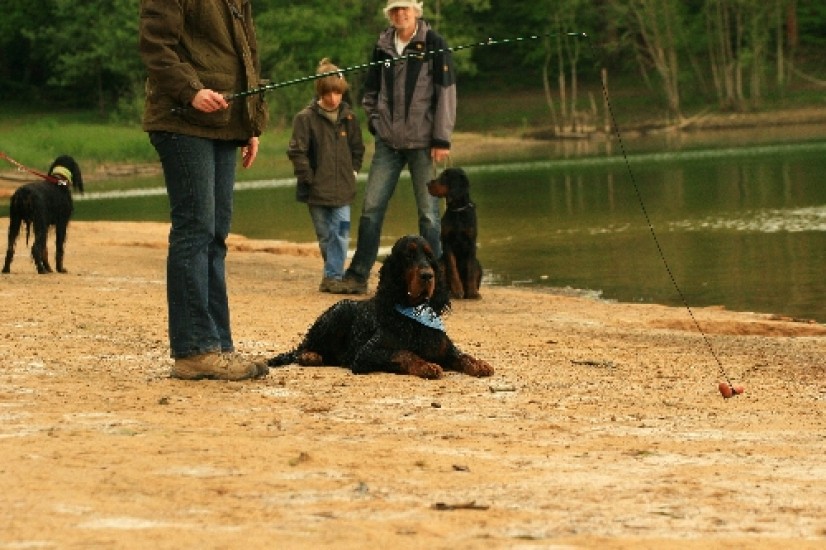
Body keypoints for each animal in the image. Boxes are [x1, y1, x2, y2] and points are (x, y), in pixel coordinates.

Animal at [268, 235, 493, 379]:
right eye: (409, 255)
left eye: (430, 256)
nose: (428, 276)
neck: (413, 314)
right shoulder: (366, 354)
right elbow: (403, 353)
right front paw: (426, 366)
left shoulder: (445, 349)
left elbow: (463, 355)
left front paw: (479, 364)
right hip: (338, 312)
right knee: (303, 347)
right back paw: (310, 355)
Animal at [428, 167, 482, 299]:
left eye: (445, 177)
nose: (427, 184)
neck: (458, 210)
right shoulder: (447, 242)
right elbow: (452, 268)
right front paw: (457, 291)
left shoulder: (471, 243)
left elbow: (471, 270)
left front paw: (472, 293)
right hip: (440, 263)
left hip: (479, 264)